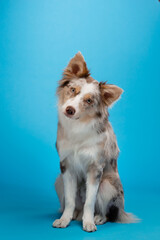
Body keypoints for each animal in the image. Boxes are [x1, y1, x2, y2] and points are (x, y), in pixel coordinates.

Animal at [52, 51, 138, 232]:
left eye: (89, 100)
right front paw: (64, 220)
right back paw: (75, 215)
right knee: (76, 205)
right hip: (58, 181)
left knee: (107, 212)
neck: (78, 126)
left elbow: (90, 202)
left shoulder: (95, 168)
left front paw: (89, 222)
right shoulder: (66, 167)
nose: (69, 110)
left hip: (108, 186)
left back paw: (98, 218)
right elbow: (69, 200)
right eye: (72, 90)